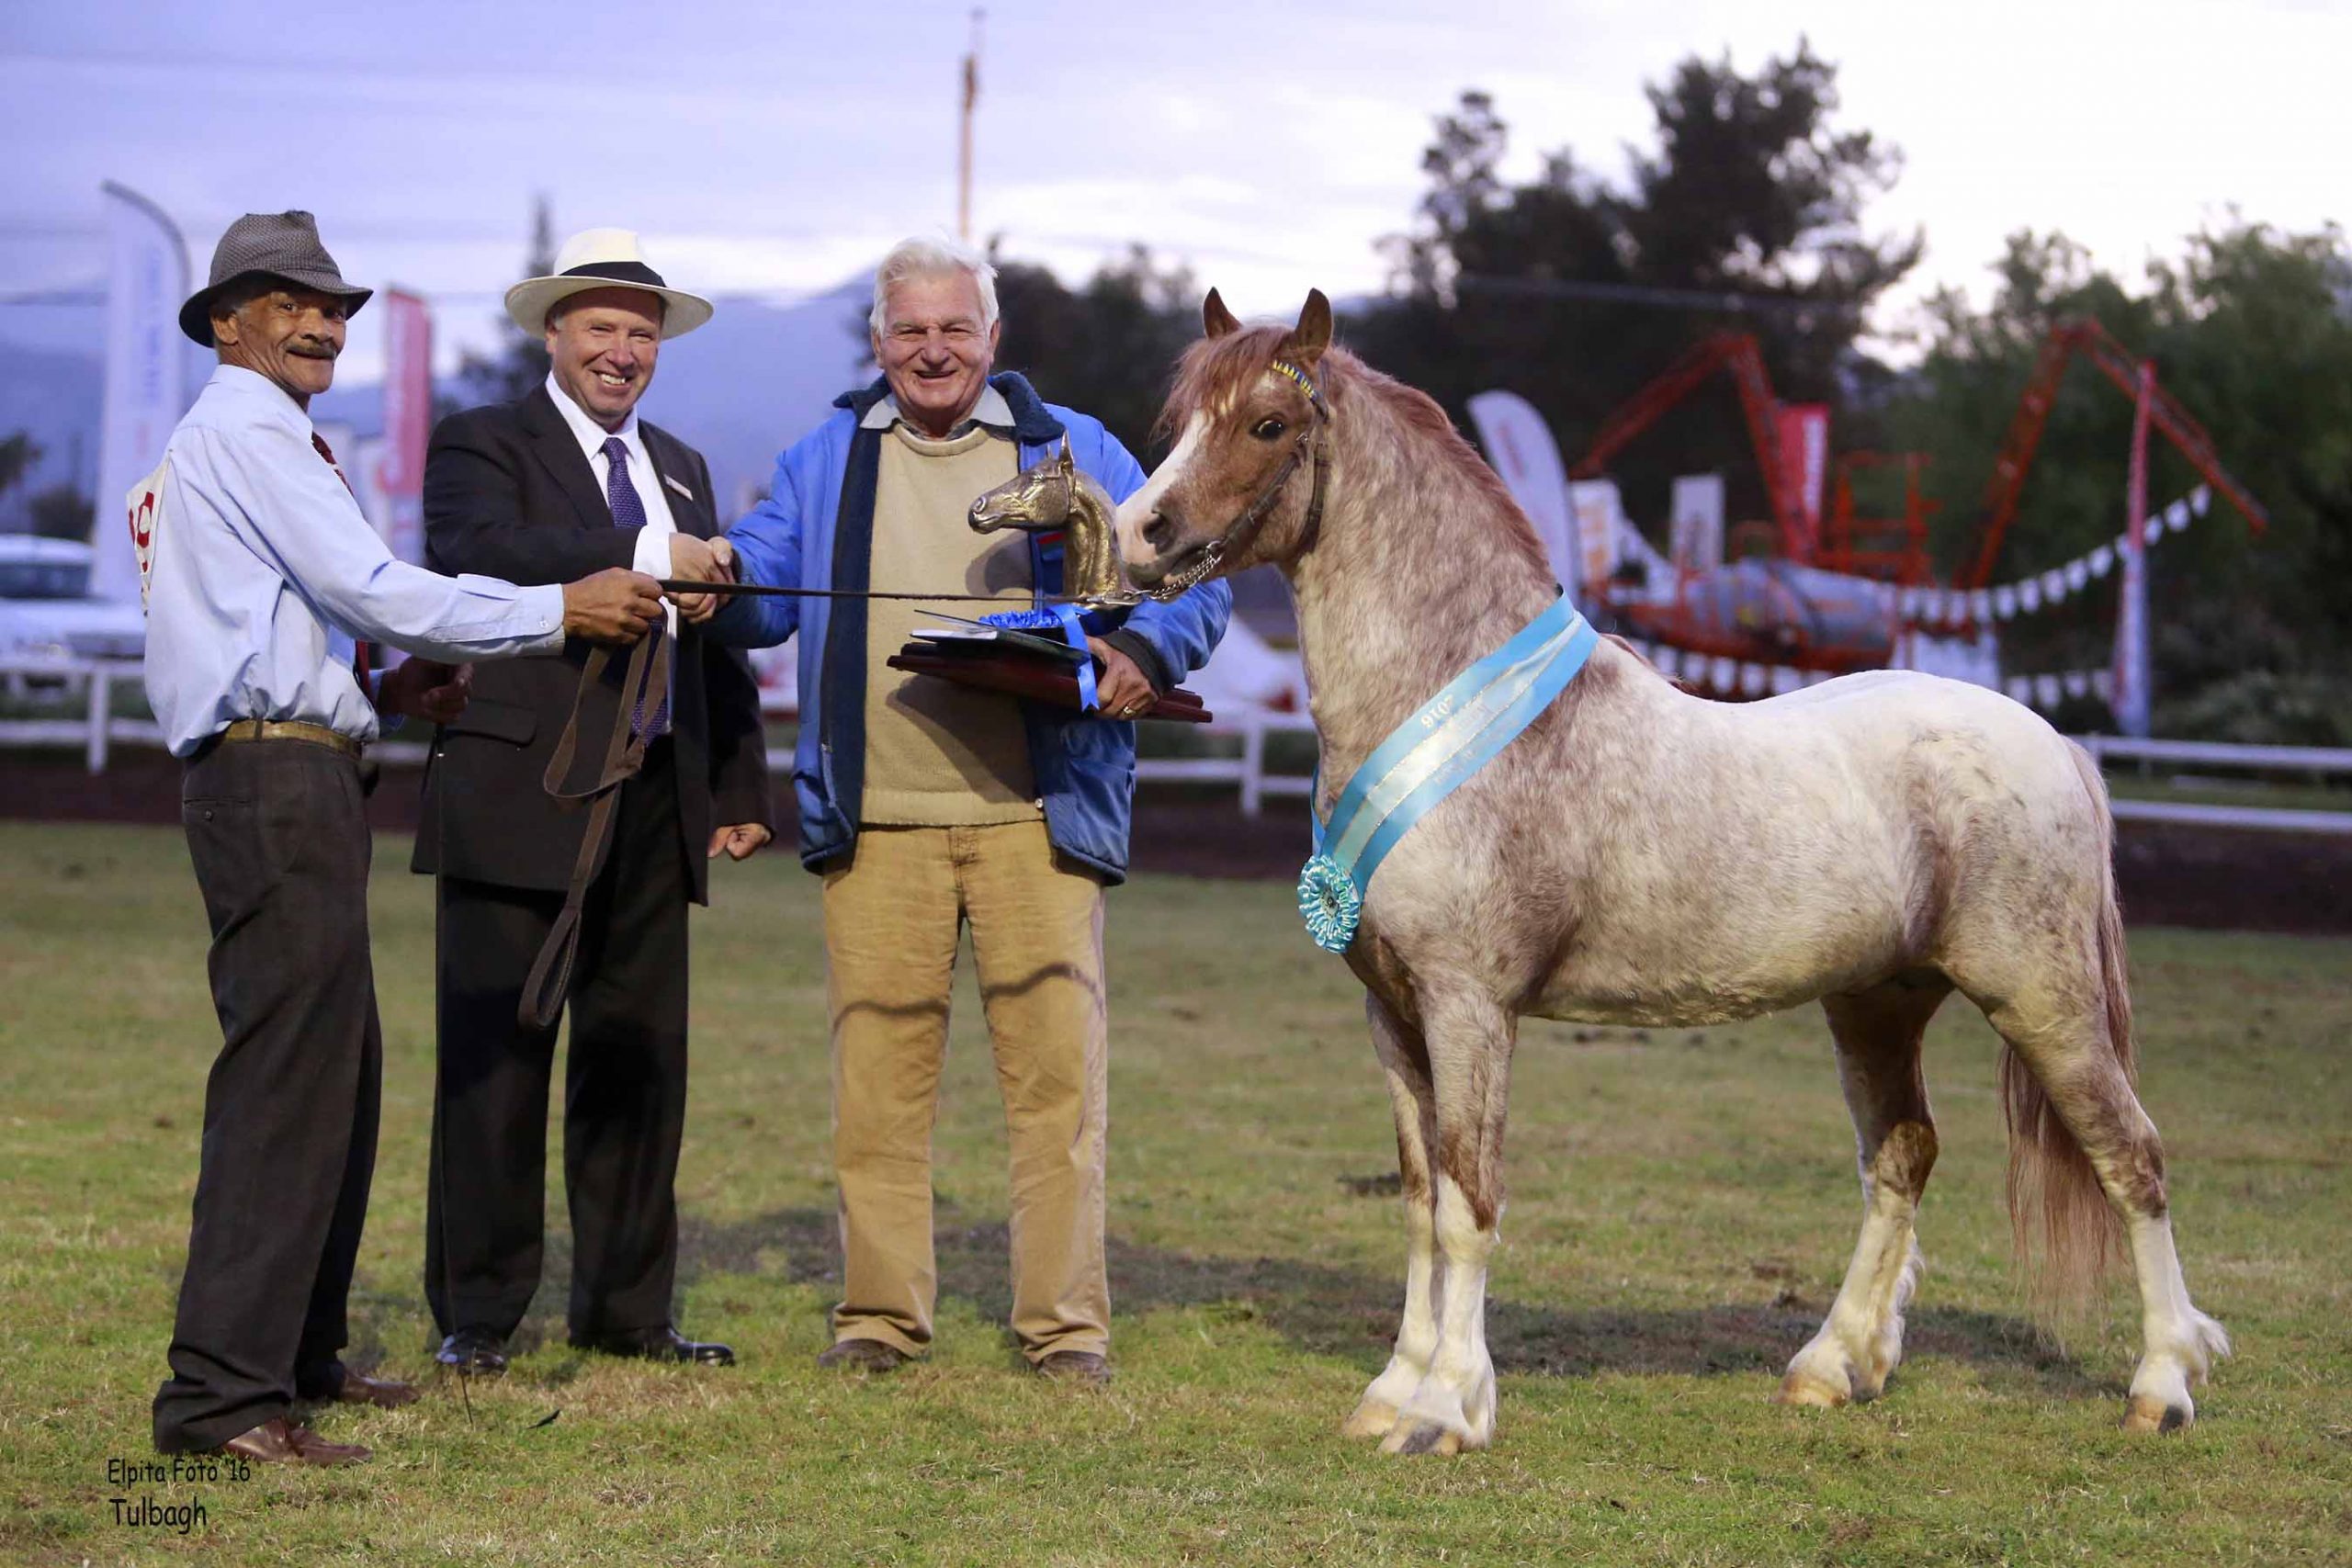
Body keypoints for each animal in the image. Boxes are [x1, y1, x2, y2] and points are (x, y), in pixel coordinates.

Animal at [1110, 291, 2229, 1457]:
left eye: (1269, 425)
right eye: (1180, 421)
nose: (1134, 534)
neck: (1453, 705)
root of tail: (2058, 747)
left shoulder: (1471, 1008)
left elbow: (1469, 1202)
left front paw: (1446, 1409)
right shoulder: (1395, 1014)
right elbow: (1420, 1201)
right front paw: (1393, 1391)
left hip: (2042, 1000)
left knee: (2131, 1159)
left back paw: (2161, 1385)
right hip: (1878, 1003)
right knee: (1902, 1158)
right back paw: (1833, 1367)